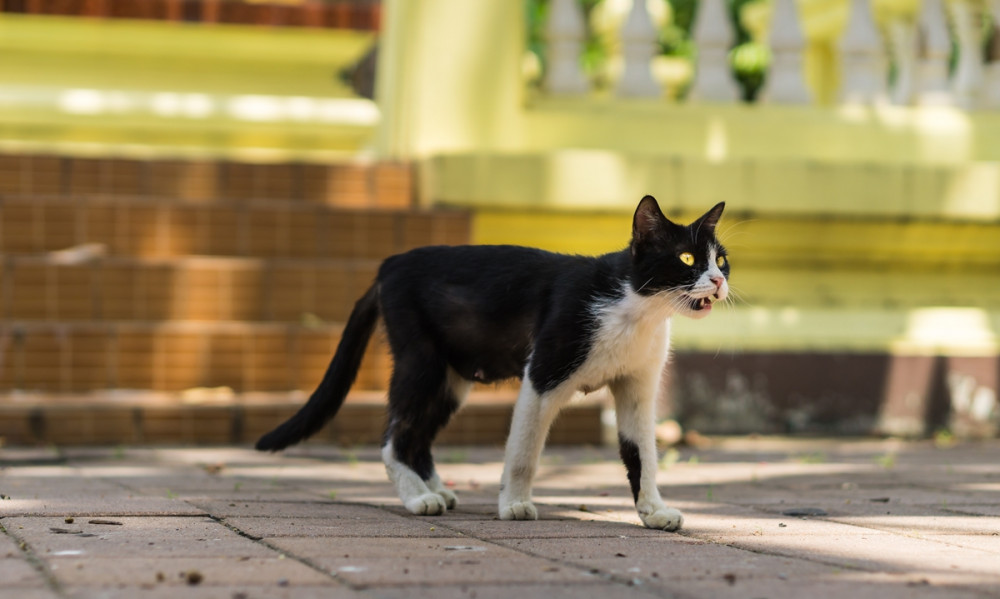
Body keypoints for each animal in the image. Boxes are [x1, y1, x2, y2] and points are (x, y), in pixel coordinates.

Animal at [256, 196, 728, 528]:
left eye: (721, 258)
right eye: (687, 258)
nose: (720, 280)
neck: (636, 308)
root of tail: (388, 264)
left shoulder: (637, 388)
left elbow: (642, 452)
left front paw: (653, 511)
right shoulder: (542, 375)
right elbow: (524, 449)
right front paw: (515, 503)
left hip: (450, 378)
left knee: (418, 436)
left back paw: (435, 489)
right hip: (421, 360)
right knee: (394, 436)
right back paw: (417, 497)